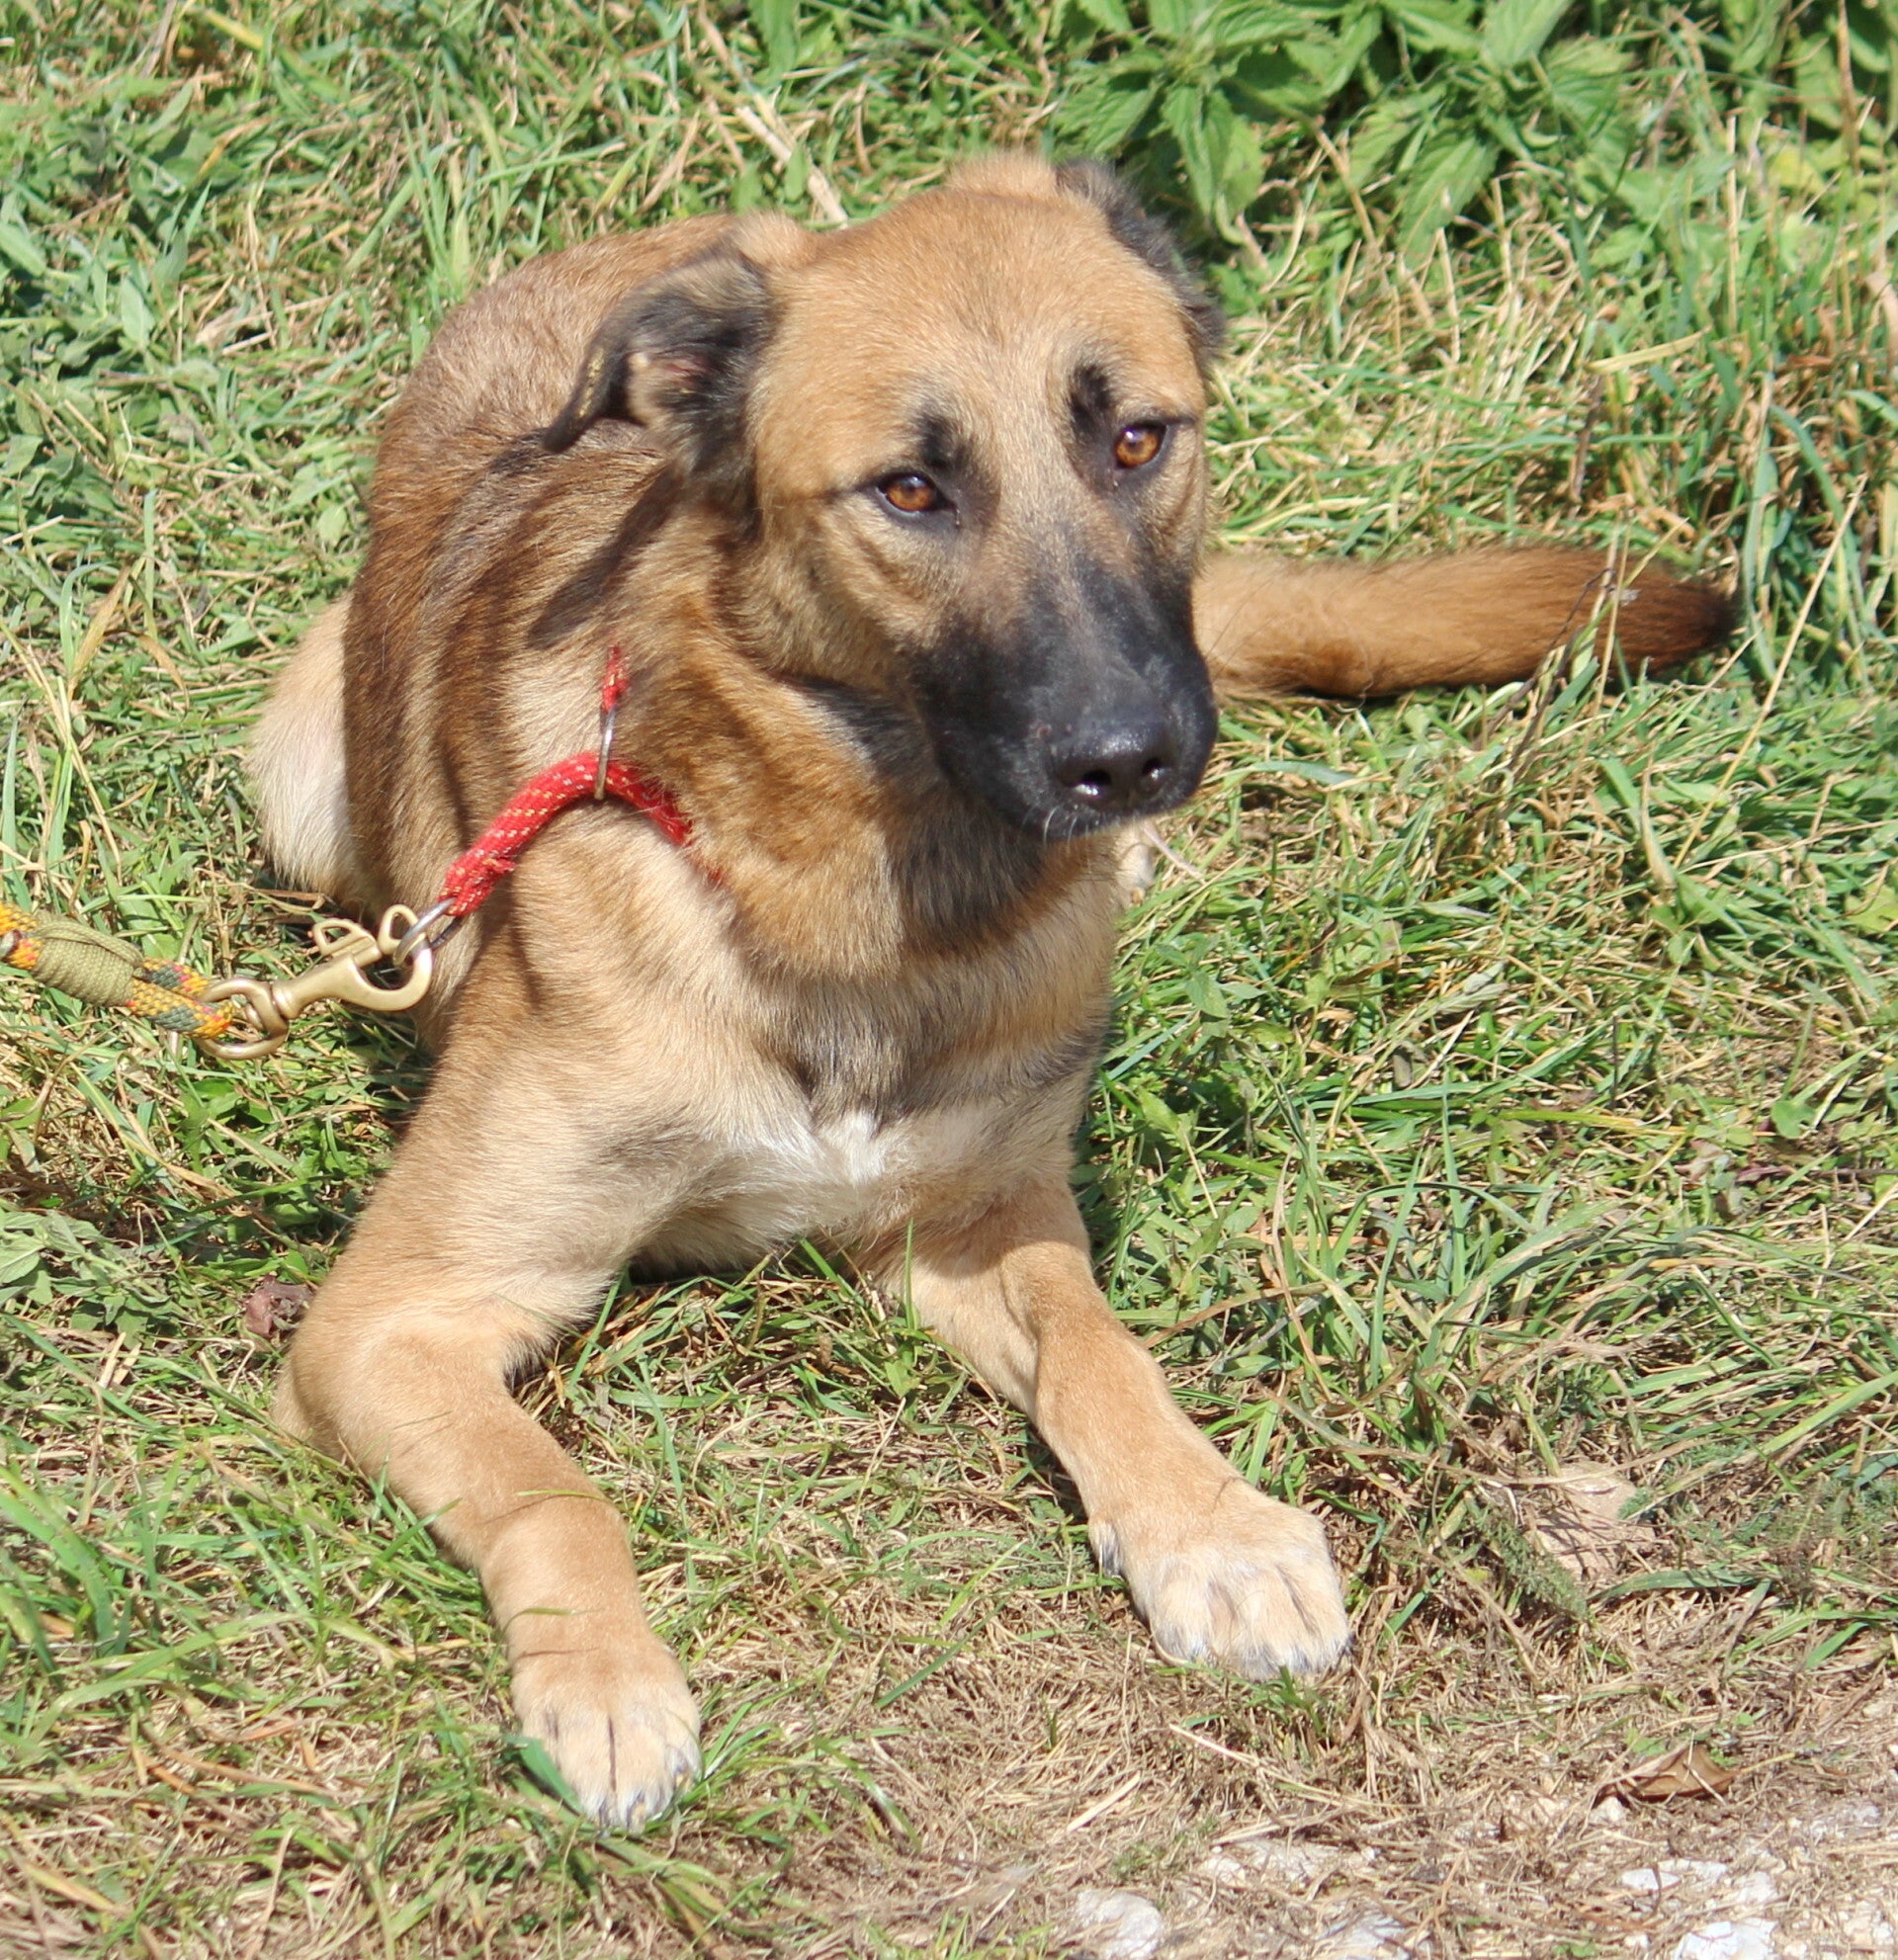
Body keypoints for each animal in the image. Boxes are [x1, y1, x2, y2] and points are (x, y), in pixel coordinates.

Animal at [248, 151, 1730, 1828]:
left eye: (1137, 436)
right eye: (910, 489)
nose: (1128, 755)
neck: (857, 907)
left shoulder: (976, 1223)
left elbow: (1100, 1346)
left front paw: (1209, 1523)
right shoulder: (394, 1319)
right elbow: (550, 1488)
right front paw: (608, 1676)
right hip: (295, 770)